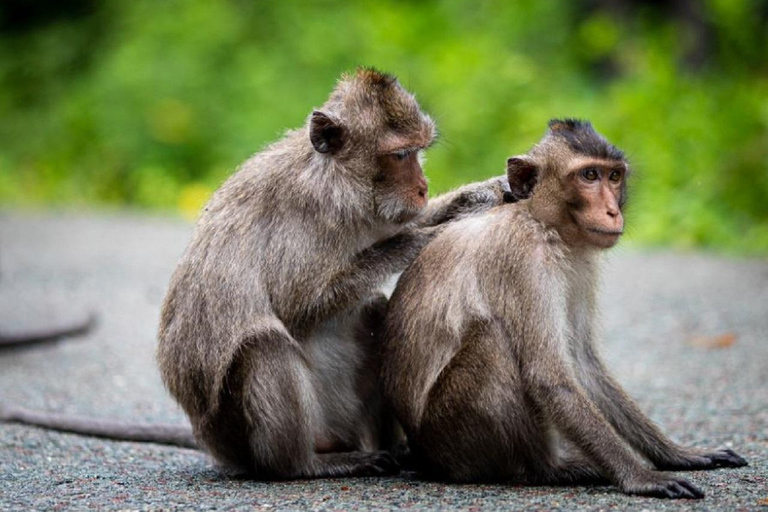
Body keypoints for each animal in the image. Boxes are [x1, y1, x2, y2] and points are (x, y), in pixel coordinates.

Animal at [3, 68, 512, 476]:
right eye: (401, 155)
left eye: (419, 152)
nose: (423, 186)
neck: (337, 185)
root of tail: (211, 444)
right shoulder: (302, 218)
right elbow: (297, 306)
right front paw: (419, 240)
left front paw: (478, 196)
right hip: (241, 435)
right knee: (263, 345)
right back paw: (305, 465)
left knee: (370, 312)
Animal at [380, 118, 748, 498]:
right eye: (589, 176)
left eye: (613, 176)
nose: (613, 211)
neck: (543, 224)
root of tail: (424, 456)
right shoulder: (523, 258)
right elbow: (549, 377)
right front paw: (641, 476)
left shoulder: (581, 264)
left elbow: (583, 363)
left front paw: (677, 454)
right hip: (453, 438)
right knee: (492, 339)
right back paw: (549, 469)